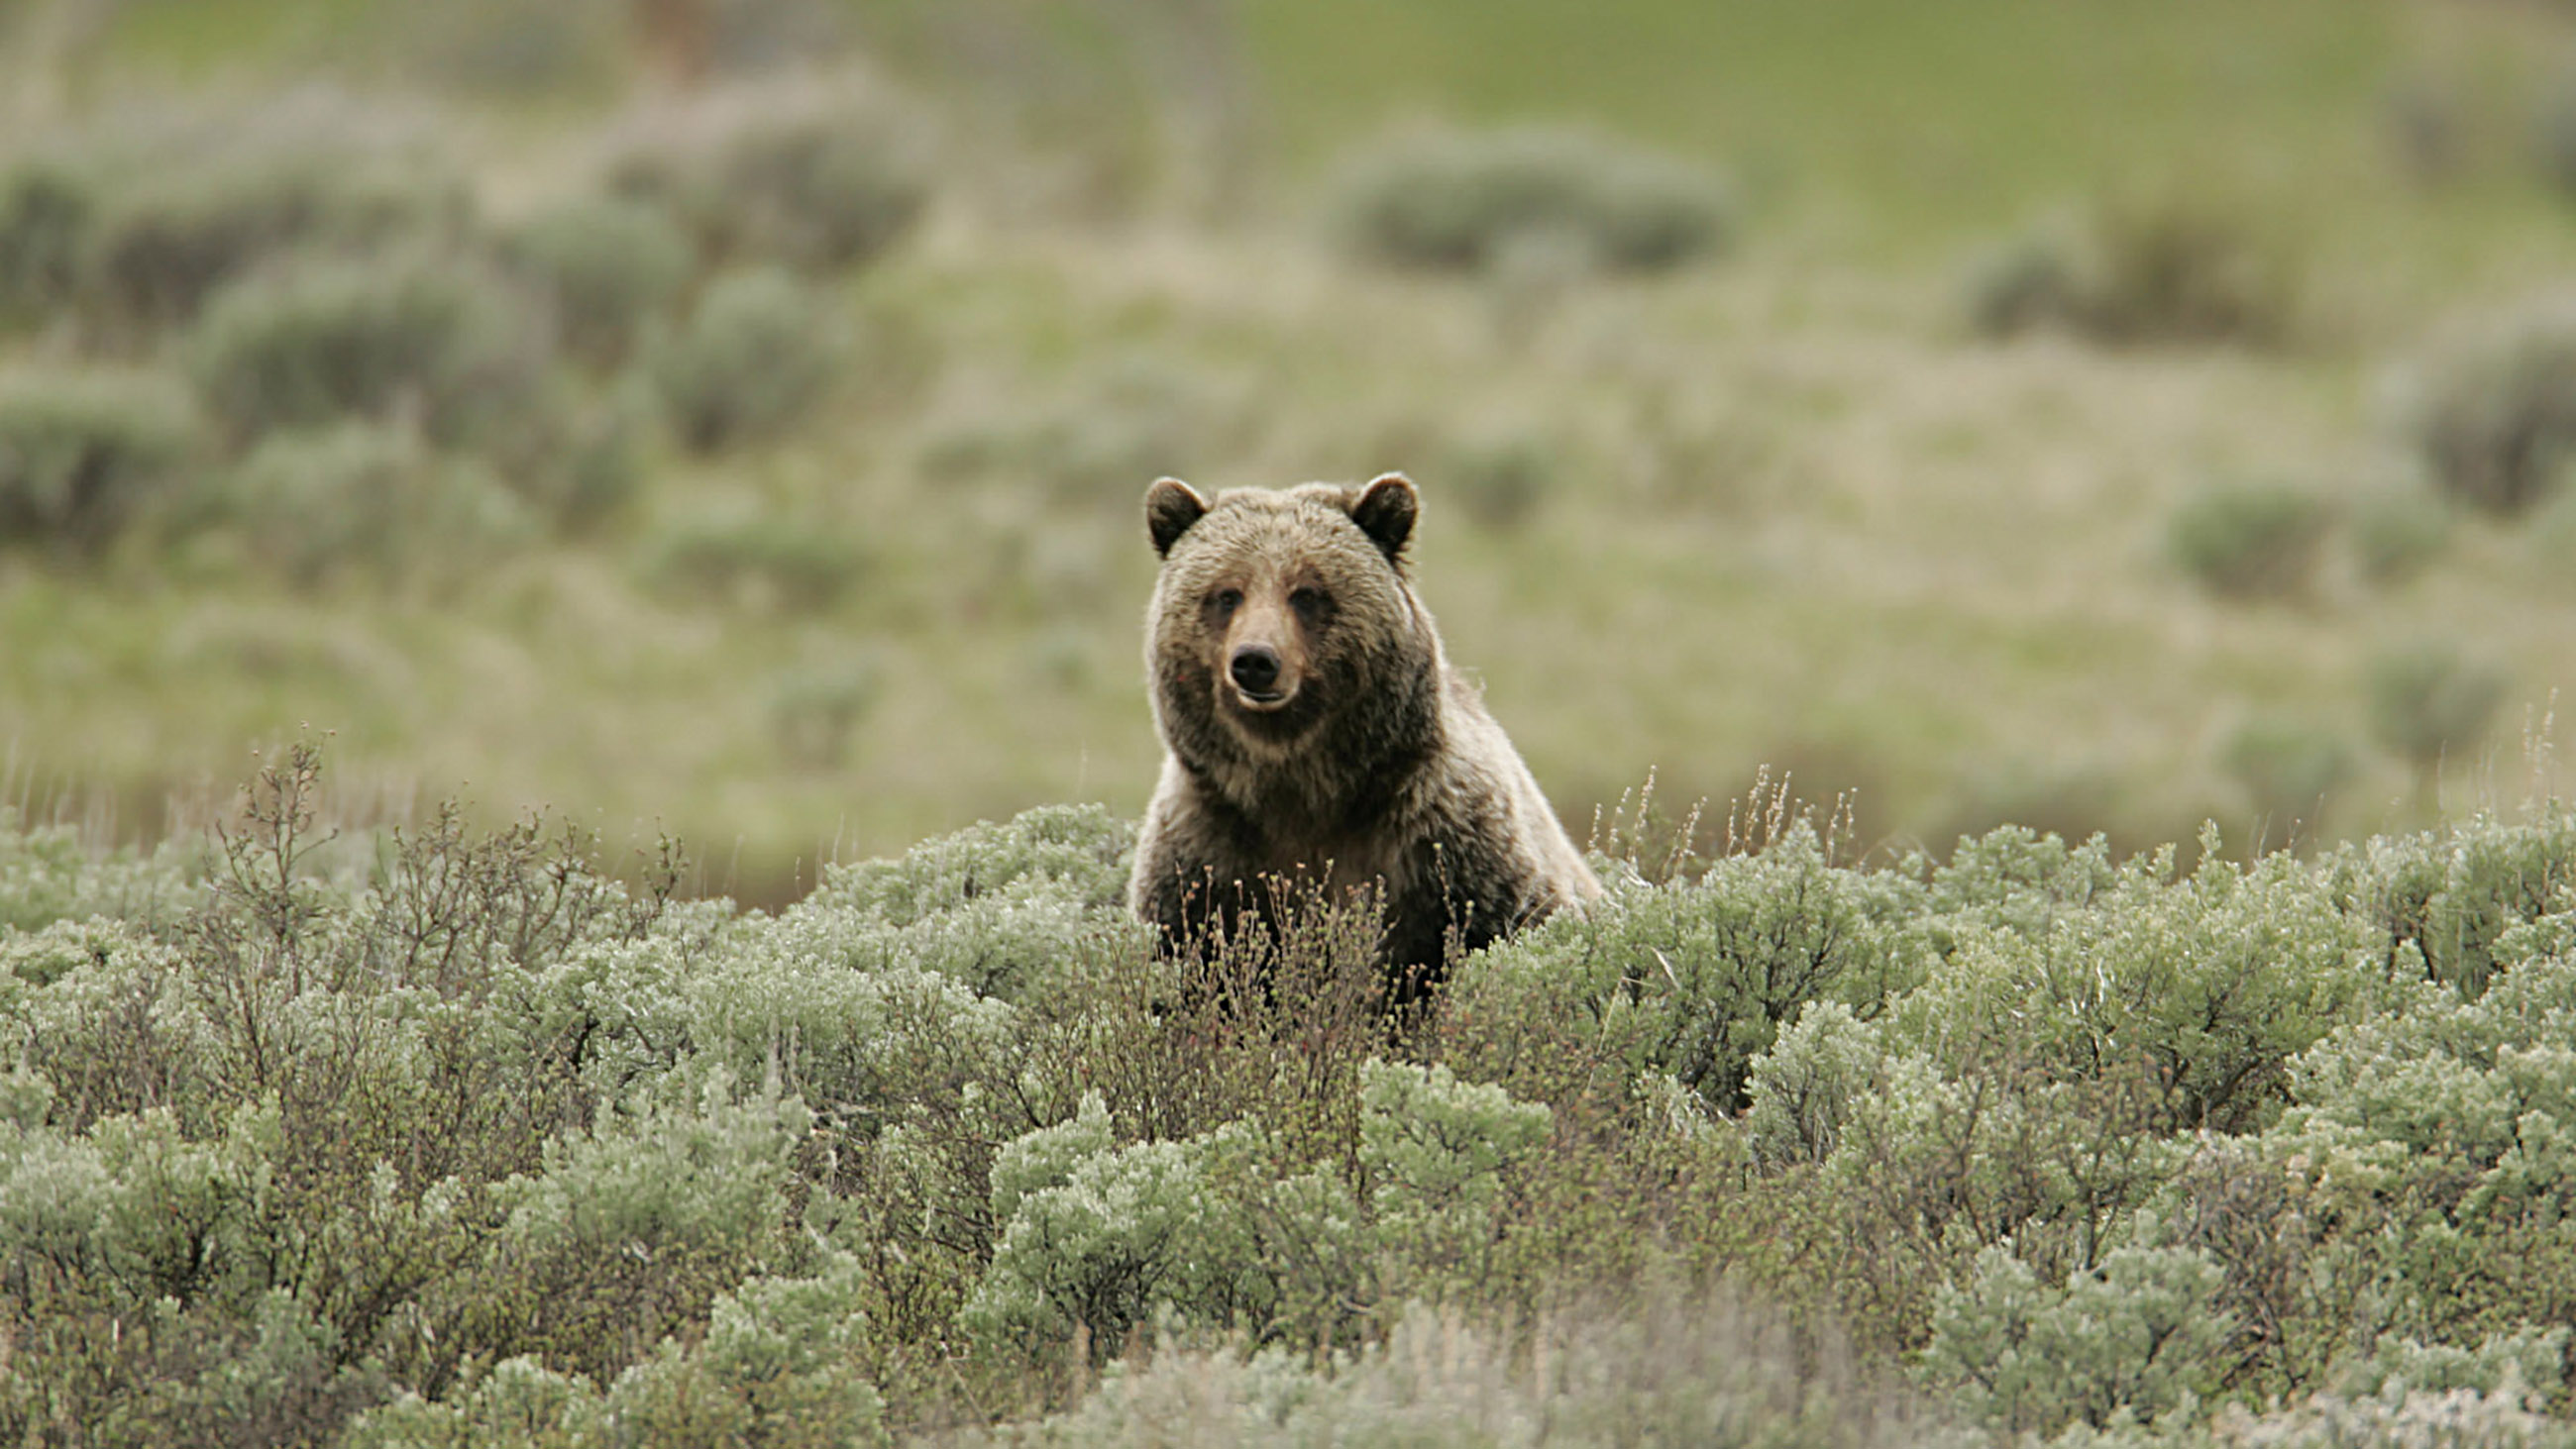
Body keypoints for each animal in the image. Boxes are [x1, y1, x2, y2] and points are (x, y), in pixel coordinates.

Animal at [1133, 475, 1597, 998]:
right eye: (1227, 593)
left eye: (1306, 593)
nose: (1255, 660)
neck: (1302, 787)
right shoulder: (1206, 857)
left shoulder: (1451, 848)